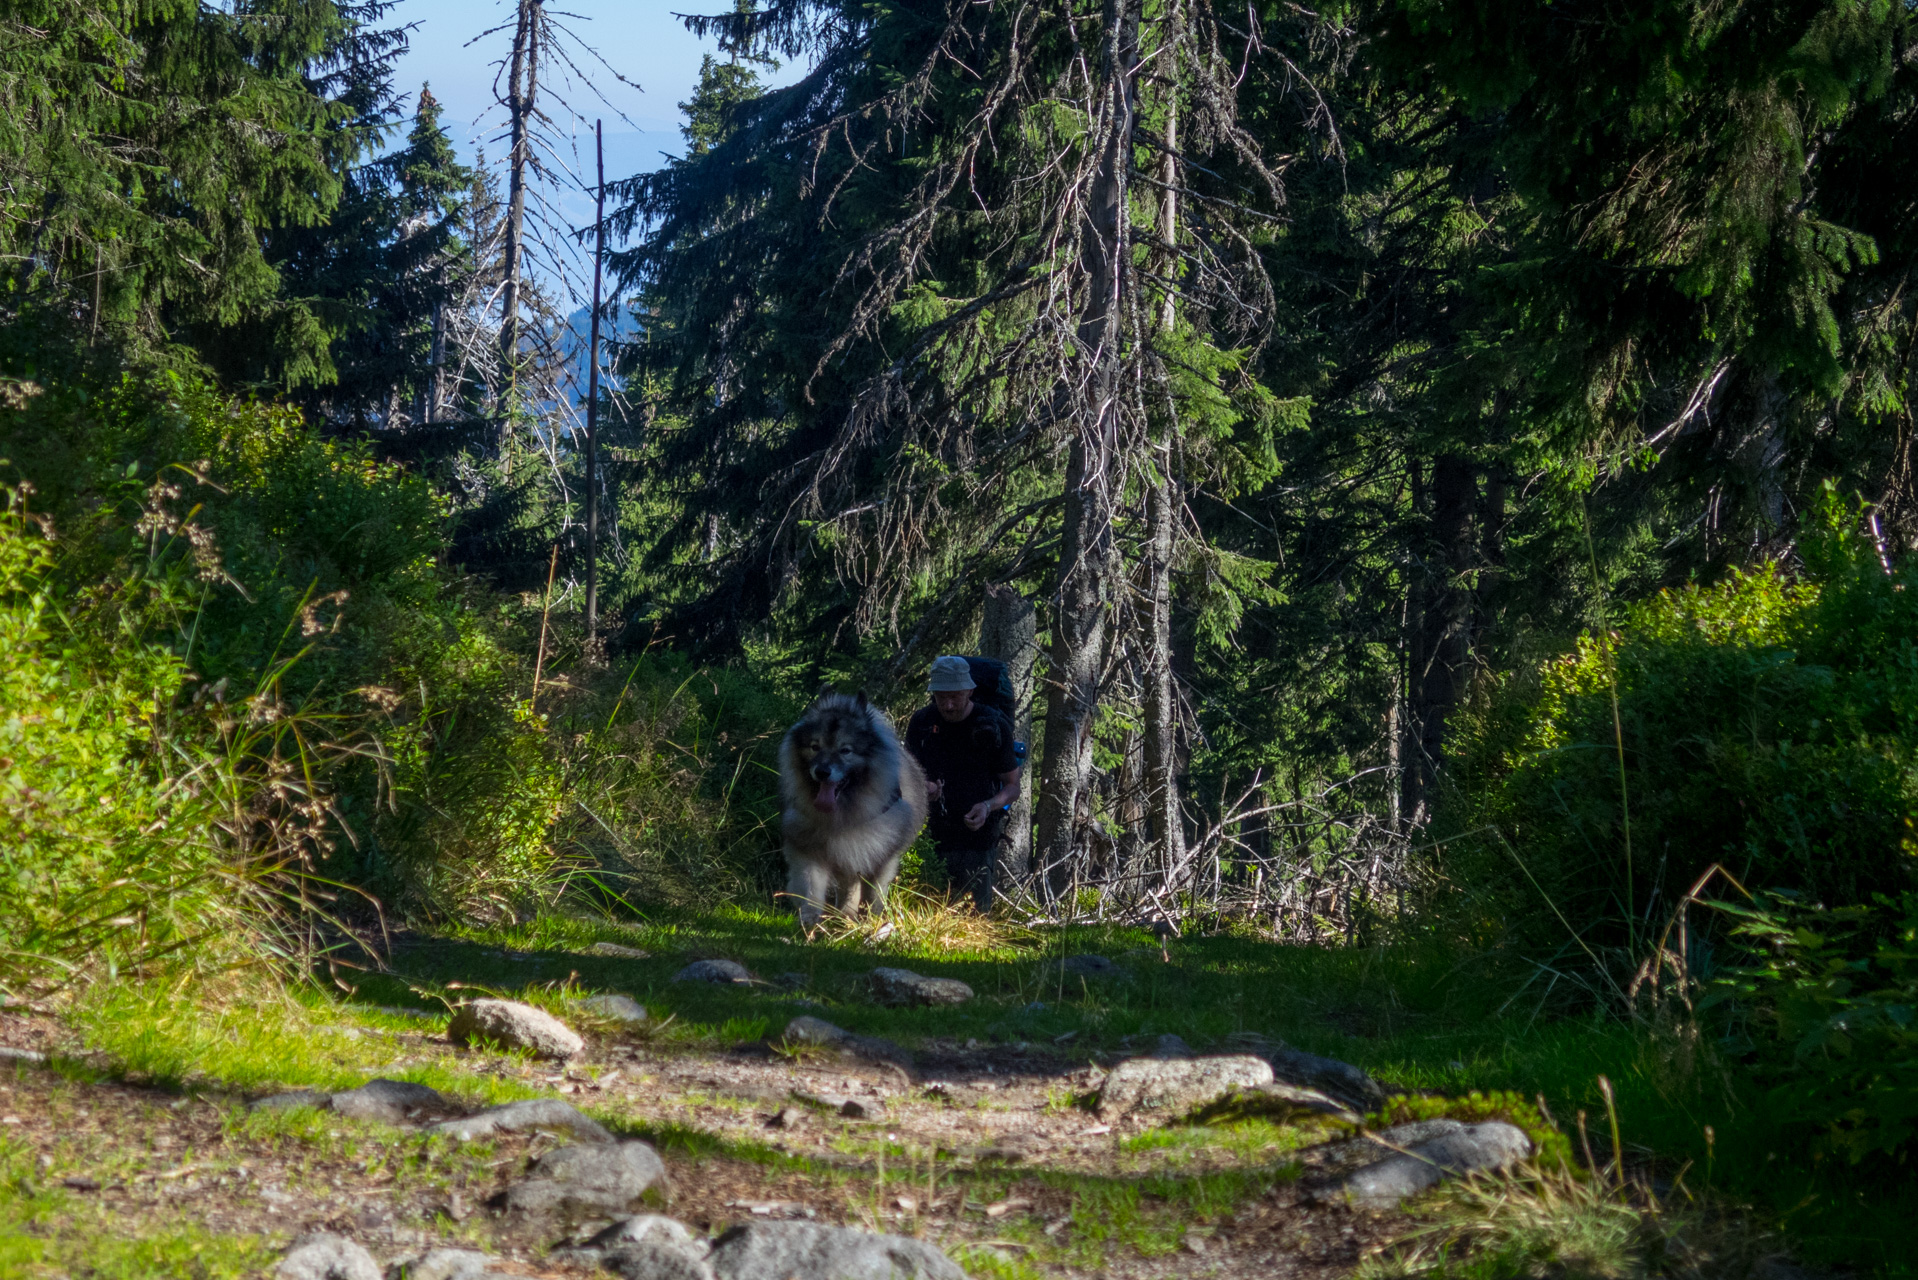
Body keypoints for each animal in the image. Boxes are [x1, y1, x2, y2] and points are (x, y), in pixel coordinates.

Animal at [778, 694, 928, 924]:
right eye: (815, 747)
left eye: (845, 750)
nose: (822, 771)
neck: (843, 815)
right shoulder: (810, 849)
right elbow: (811, 887)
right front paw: (810, 921)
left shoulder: (878, 857)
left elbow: (872, 894)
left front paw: (871, 921)